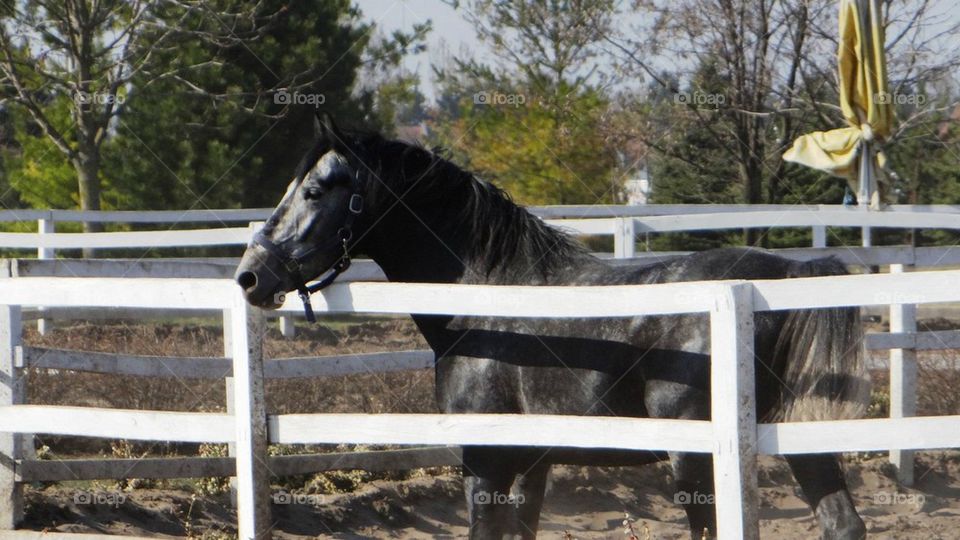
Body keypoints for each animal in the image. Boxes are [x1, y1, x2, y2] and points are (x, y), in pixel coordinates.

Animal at [235, 115, 871, 539]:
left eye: (315, 190)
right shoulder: (531, 464)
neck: (487, 297)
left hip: (694, 462)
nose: (250, 275)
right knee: (843, 524)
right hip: (802, 443)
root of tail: (782, 274)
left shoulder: (486, 464)